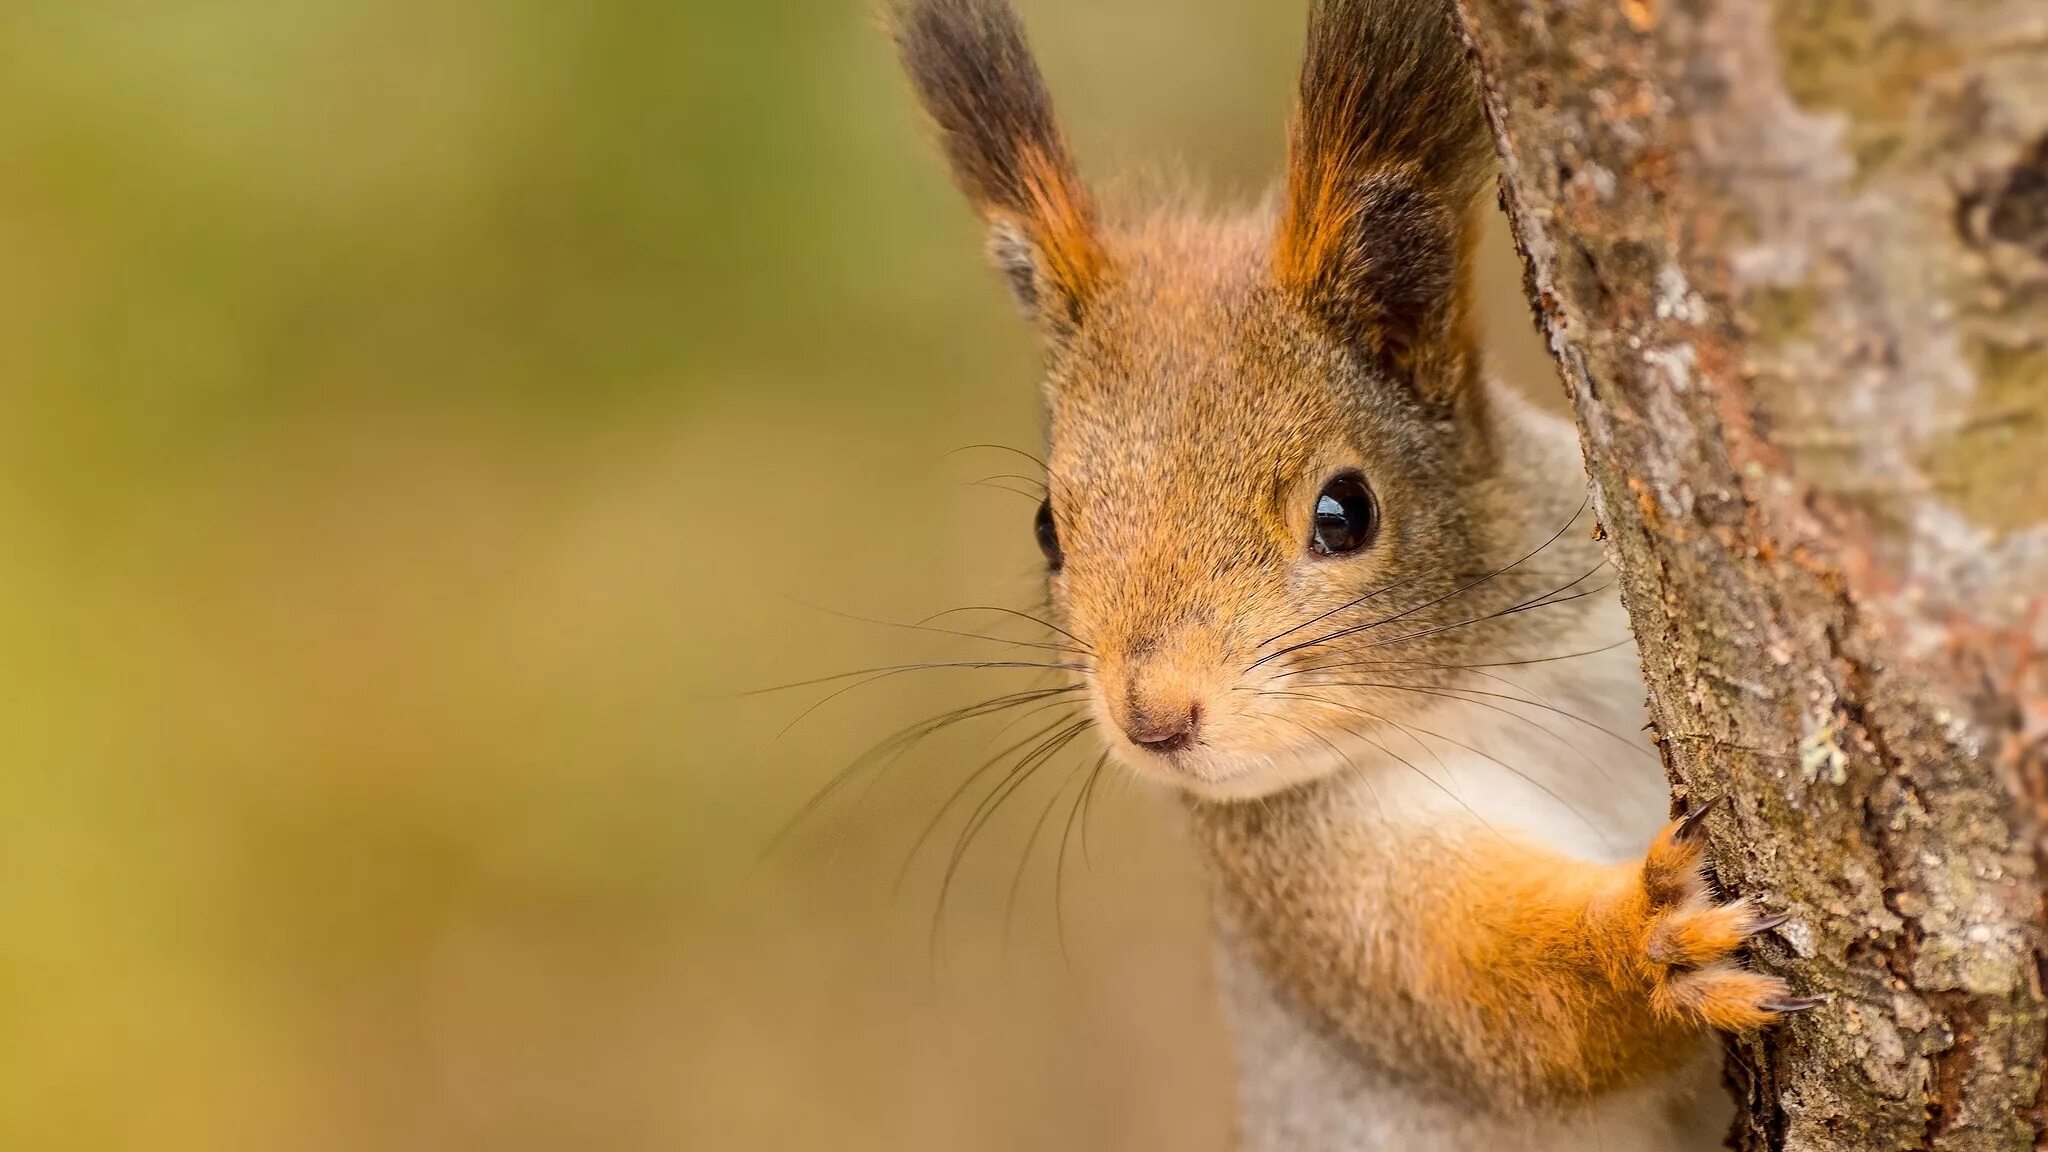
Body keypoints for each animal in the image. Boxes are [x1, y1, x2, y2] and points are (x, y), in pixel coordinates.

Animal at [888, 0, 1818, 1139]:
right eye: (1046, 528)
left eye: (1346, 512)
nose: (1153, 718)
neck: (1473, 688)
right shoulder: (1319, 898)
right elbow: (1500, 1008)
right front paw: (1654, 947)